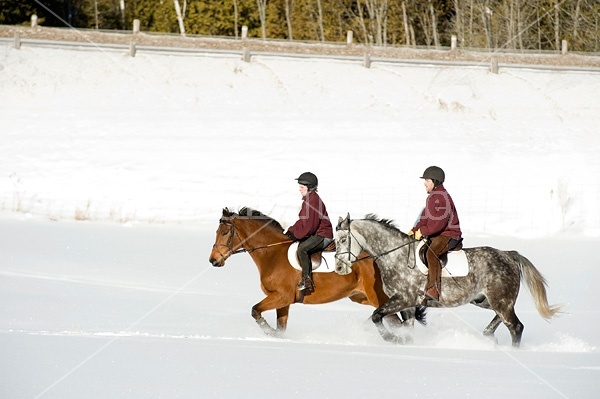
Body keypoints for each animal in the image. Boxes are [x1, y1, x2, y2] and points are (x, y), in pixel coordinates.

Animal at [209, 208, 424, 336]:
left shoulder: (281, 296)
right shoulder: (284, 302)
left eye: (225, 232)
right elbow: (280, 328)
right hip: (362, 297)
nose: (213, 260)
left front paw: (267, 332)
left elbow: (255, 311)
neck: (273, 253)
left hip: (378, 297)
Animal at [336, 214, 560, 348]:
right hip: (485, 300)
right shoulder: (408, 305)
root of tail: (508, 255)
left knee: (516, 326)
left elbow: (376, 316)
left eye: (343, 240)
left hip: (500, 301)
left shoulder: (404, 299)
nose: (338, 268)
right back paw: (489, 335)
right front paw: (403, 342)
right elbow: (406, 331)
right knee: (503, 319)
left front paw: (392, 339)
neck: (395, 255)